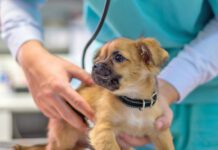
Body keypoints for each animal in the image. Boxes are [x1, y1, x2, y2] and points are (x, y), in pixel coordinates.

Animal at [14, 37, 174, 150]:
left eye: (118, 58)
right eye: (98, 58)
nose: (95, 65)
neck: (133, 101)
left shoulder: (161, 133)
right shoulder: (103, 131)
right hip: (64, 138)